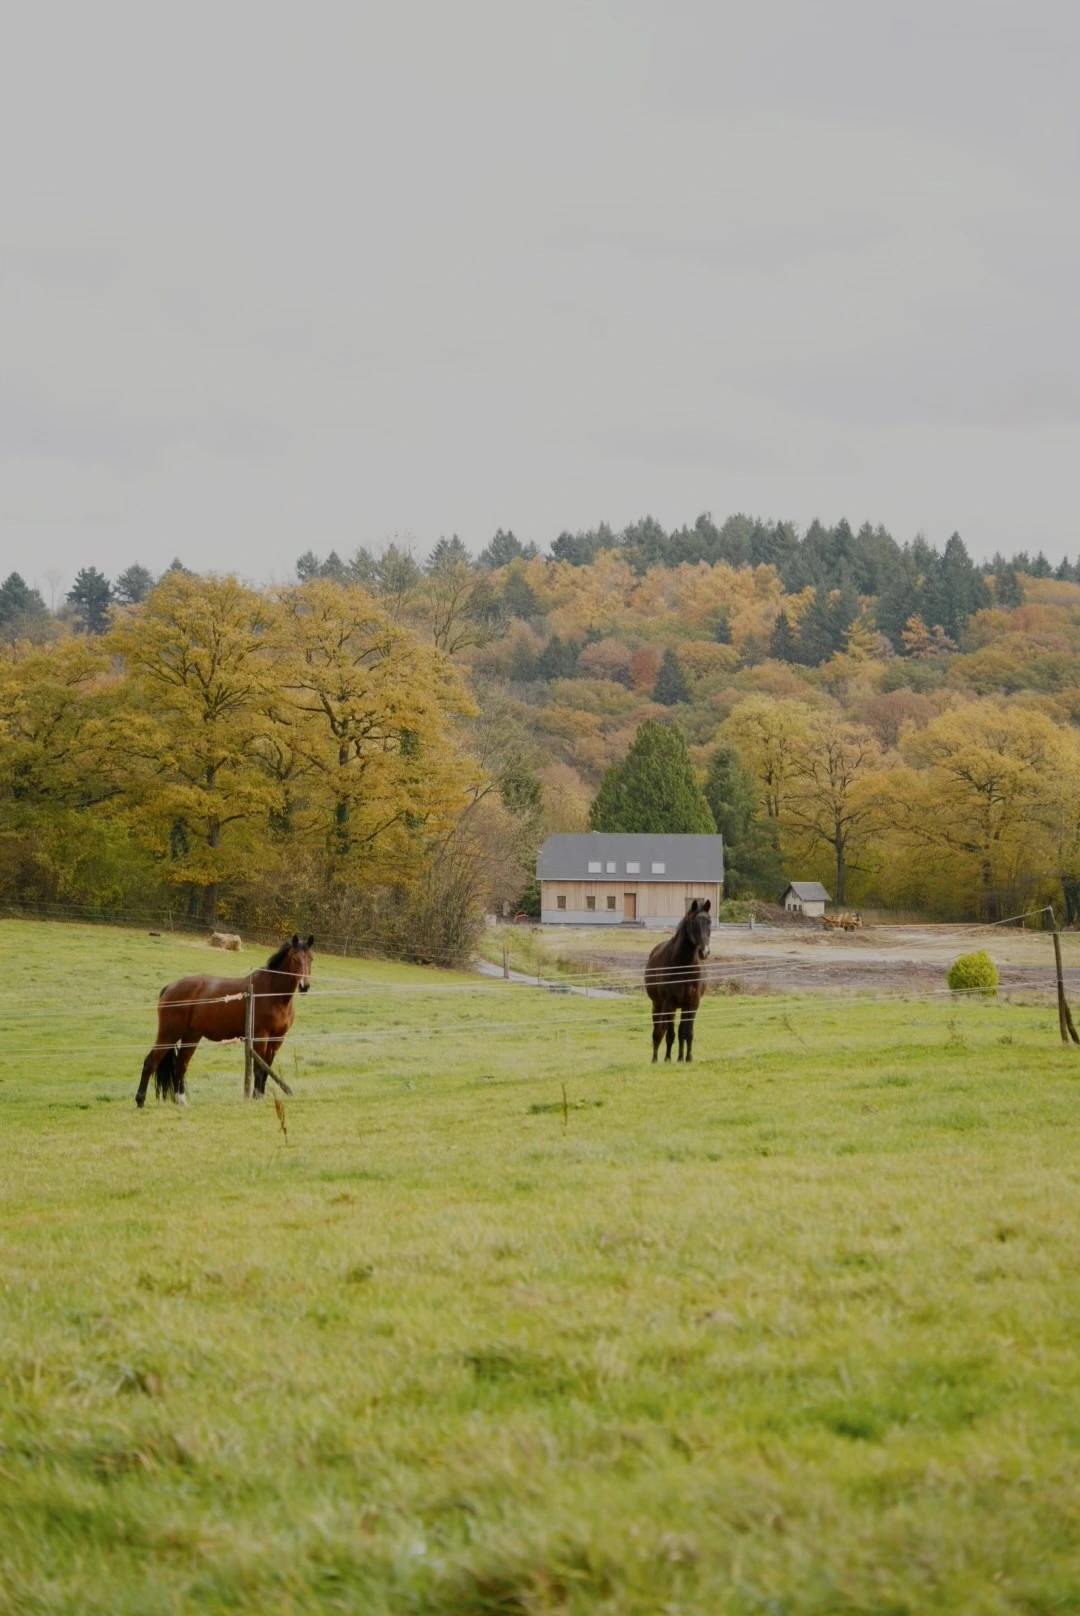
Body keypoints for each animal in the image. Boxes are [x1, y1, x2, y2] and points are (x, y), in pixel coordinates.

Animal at [135, 934, 314, 1108]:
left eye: (311, 959)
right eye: (295, 958)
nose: (304, 986)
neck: (272, 994)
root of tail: (170, 987)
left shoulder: (277, 1039)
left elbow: (267, 1069)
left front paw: (261, 1096)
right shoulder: (260, 1037)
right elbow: (258, 1068)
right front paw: (256, 1097)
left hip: (191, 1036)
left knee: (180, 1066)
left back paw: (182, 1102)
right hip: (169, 1034)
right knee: (151, 1062)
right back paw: (140, 1100)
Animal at [644, 900, 712, 1063]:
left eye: (709, 922)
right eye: (693, 923)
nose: (704, 952)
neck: (684, 966)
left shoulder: (692, 1004)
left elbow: (687, 1033)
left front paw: (687, 1058)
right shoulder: (670, 1004)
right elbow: (670, 1034)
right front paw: (668, 1059)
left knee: (680, 1032)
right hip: (658, 1005)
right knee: (657, 1032)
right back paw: (655, 1059)